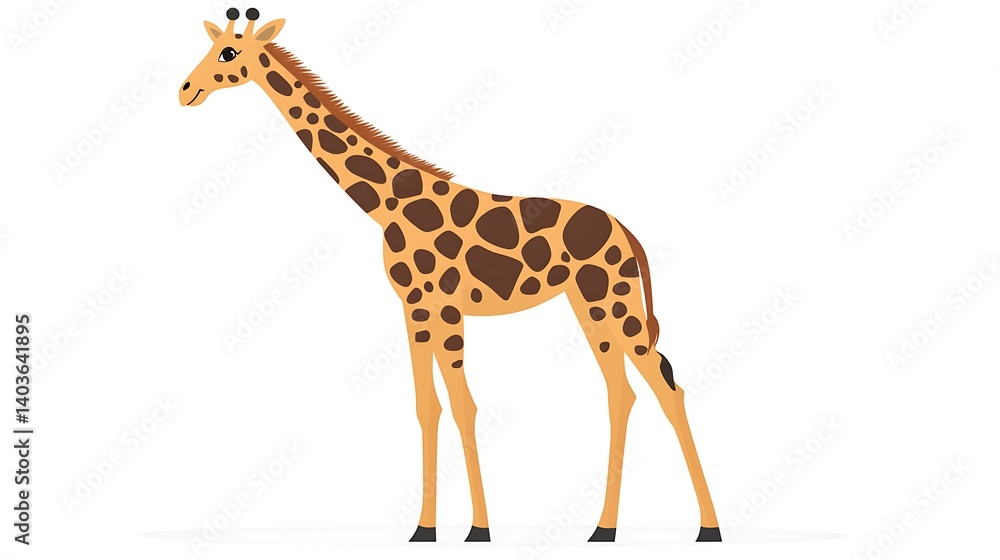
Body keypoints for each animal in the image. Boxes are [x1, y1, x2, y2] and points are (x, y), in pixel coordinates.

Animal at [180, 9, 721, 544]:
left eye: (229, 53)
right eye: (213, 47)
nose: (186, 91)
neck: (389, 205)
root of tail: (628, 233)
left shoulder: (440, 304)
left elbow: (463, 405)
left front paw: (477, 529)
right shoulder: (416, 308)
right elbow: (429, 406)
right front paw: (426, 528)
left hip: (612, 298)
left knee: (667, 388)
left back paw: (707, 528)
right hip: (589, 304)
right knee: (622, 391)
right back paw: (603, 530)